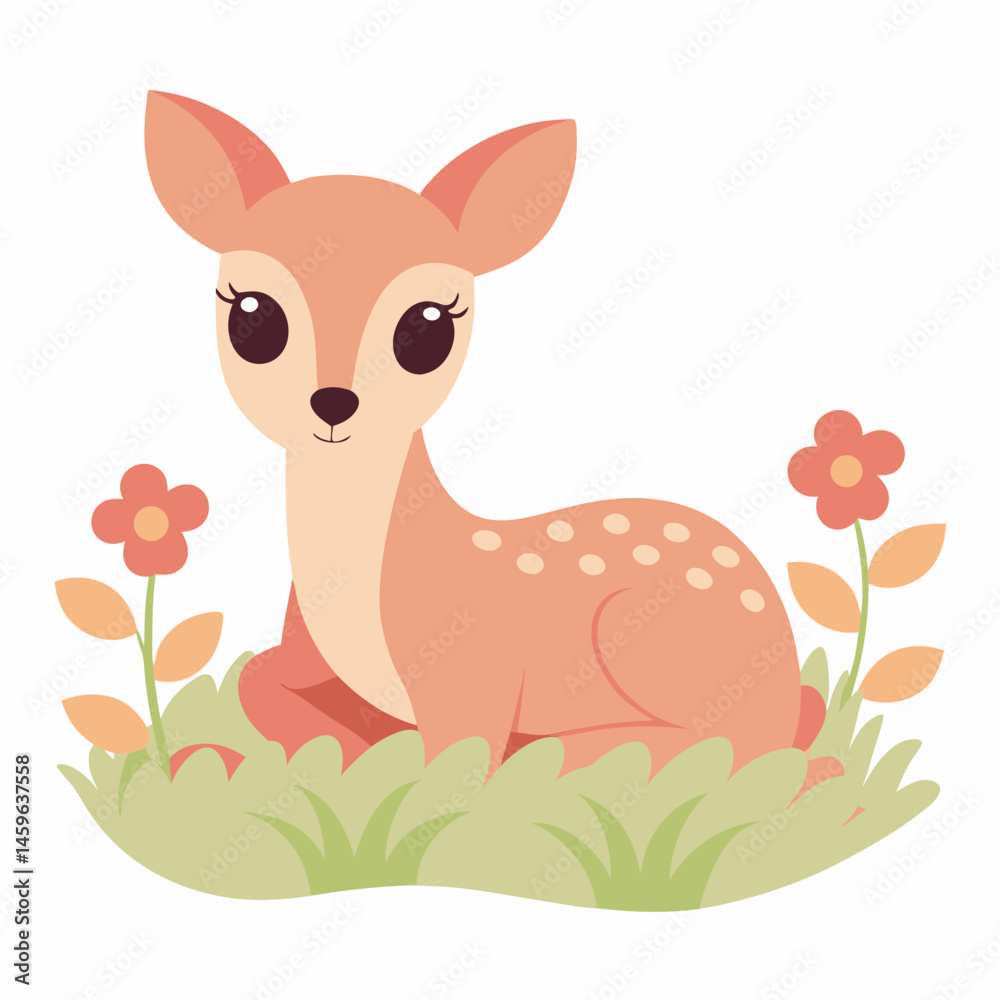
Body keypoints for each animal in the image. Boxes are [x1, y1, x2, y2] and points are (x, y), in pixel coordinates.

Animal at [143, 91, 837, 789]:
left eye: (428, 325)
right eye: (252, 314)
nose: (334, 403)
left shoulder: (473, 678)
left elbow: (450, 774)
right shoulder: (302, 656)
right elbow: (256, 681)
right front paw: (261, 753)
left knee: (722, 748)